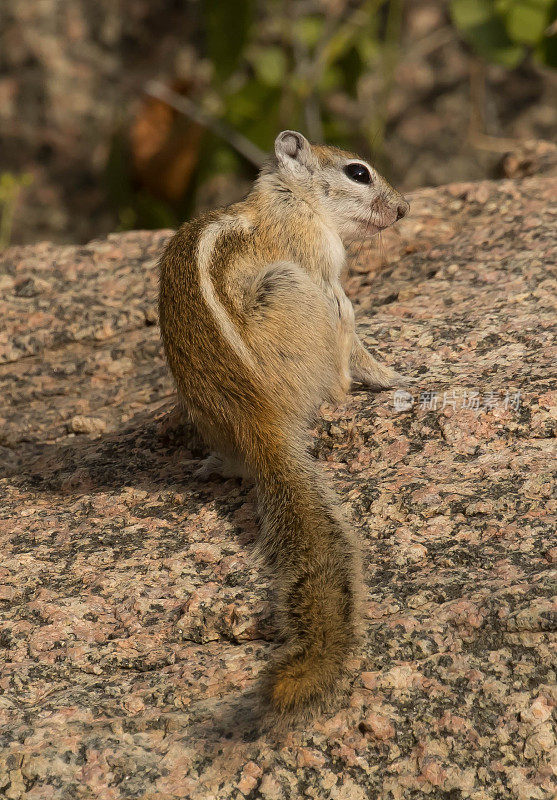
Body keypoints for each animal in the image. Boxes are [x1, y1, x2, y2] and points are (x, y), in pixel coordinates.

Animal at [159, 131, 406, 720]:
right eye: (358, 172)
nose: (403, 209)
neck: (289, 195)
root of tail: (260, 424)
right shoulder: (319, 261)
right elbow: (354, 330)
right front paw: (391, 375)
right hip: (296, 289)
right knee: (336, 364)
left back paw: (213, 465)